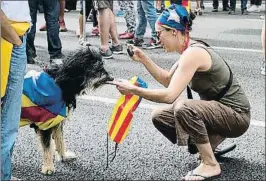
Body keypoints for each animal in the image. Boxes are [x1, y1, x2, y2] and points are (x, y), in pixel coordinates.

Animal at [19, 46, 113, 175]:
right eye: (97, 67)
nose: (112, 78)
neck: (61, 82)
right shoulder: (45, 122)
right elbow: (47, 147)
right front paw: (48, 167)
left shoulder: (57, 120)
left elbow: (60, 140)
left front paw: (64, 156)